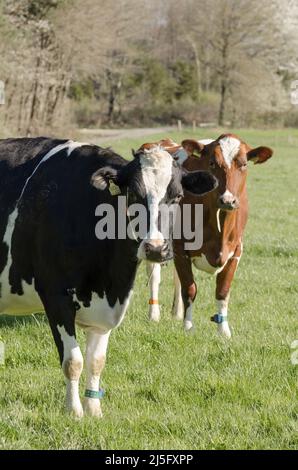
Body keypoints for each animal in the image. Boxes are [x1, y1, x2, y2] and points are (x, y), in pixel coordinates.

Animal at [0, 138, 217, 416]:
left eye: (177, 196)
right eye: (133, 194)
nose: (156, 248)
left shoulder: (108, 306)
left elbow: (96, 361)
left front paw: (94, 409)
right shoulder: (55, 295)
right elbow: (73, 361)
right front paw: (75, 412)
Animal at [142, 134, 272, 336]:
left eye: (243, 164)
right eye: (212, 163)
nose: (228, 200)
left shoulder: (236, 251)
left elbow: (223, 291)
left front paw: (223, 331)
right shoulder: (180, 248)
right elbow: (190, 288)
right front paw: (188, 327)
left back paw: (176, 312)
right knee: (154, 274)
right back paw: (154, 314)